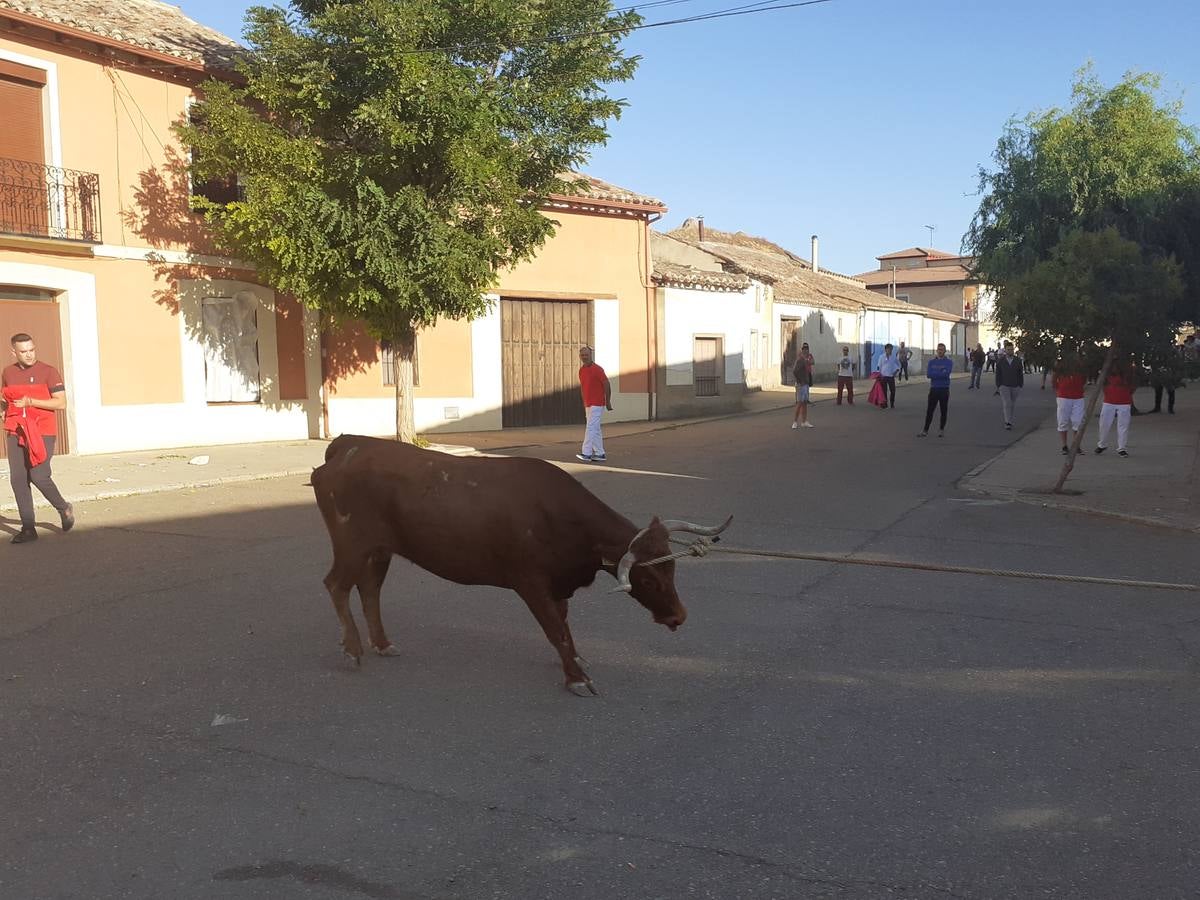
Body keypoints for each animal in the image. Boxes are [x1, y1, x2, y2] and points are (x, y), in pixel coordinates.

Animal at [310, 434, 731, 695]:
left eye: (672, 571)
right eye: (649, 580)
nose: (678, 616)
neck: (559, 516)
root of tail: (348, 446)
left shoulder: (558, 585)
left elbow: (564, 624)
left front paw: (575, 660)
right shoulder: (530, 584)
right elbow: (556, 630)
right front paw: (576, 678)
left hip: (379, 550)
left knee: (369, 590)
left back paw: (382, 644)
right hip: (351, 545)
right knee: (337, 585)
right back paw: (353, 650)